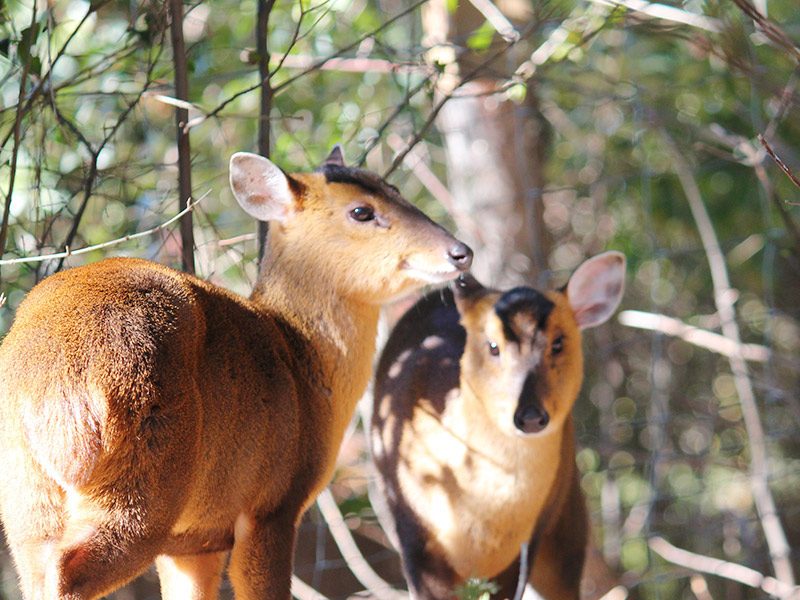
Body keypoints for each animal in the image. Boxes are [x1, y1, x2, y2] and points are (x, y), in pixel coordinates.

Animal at [0, 146, 472, 600]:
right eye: (361, 211)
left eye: (394, 188)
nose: (460, 252)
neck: (303, 358)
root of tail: (47, 383)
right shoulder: (274, 504)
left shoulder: (196, 540)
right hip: (144, 471)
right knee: (69, 573)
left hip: (27, 497)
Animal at [368, 252, 624, 600]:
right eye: (492, 346)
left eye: (558, 343)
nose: (530, 416)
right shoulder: (414, 535)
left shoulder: (525, 545)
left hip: (565, 514)